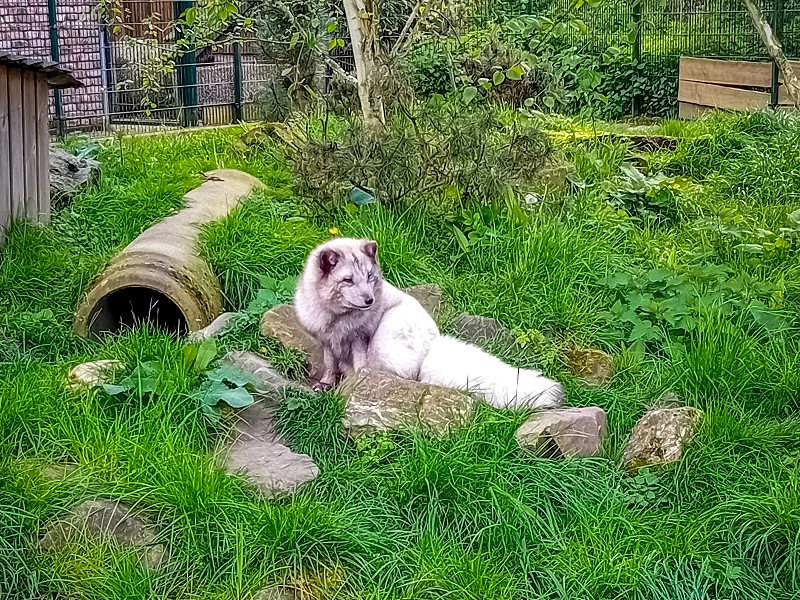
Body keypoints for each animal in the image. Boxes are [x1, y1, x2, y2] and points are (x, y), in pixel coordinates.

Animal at [292, 237, 564, 410]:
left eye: (369, 277)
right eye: (348, 280)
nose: (370, 300)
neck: (336, 318)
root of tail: (432, 347)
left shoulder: (360, 338)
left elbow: (359, 366)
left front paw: (351, 387)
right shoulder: (326, 340)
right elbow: (329, 364)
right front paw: (326, 384)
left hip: (386, 338)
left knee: (407, 378)